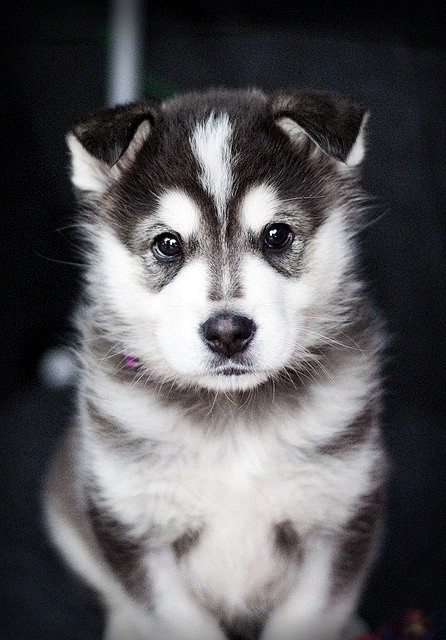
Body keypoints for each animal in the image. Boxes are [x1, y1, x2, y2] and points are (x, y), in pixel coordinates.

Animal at [44, 86, 386, 640]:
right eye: (167, 244)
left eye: (276, 235)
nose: (228, 332)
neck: (232, 424)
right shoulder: (134, 528)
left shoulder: (337, 518)